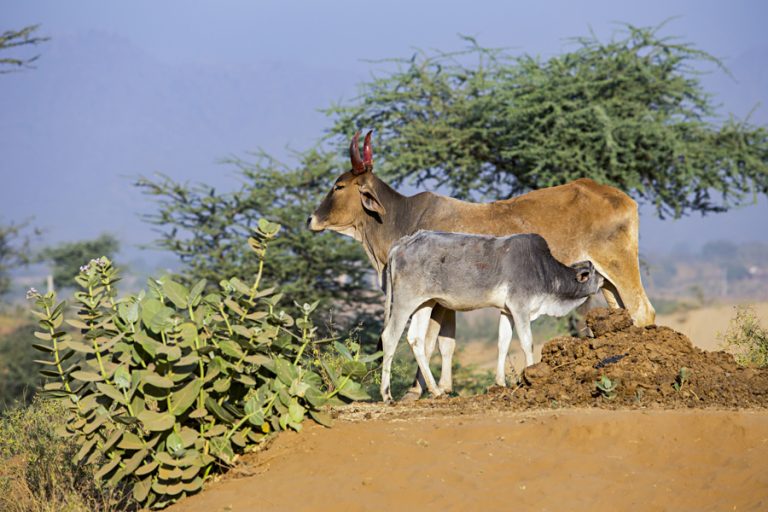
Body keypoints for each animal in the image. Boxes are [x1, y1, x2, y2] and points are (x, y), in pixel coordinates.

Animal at [379, 230, 604, 401]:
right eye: (595, 271)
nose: (604, 279)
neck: (544, 271)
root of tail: (403, 242)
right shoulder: (520, 308)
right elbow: (527, 343)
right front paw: (532, 376)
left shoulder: (507, 311)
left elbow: (503, 343)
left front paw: (500, 382)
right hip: (404, 302)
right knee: (389, 337)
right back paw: (387, 395)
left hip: (424, 303)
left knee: (415, 339)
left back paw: (436, 390)